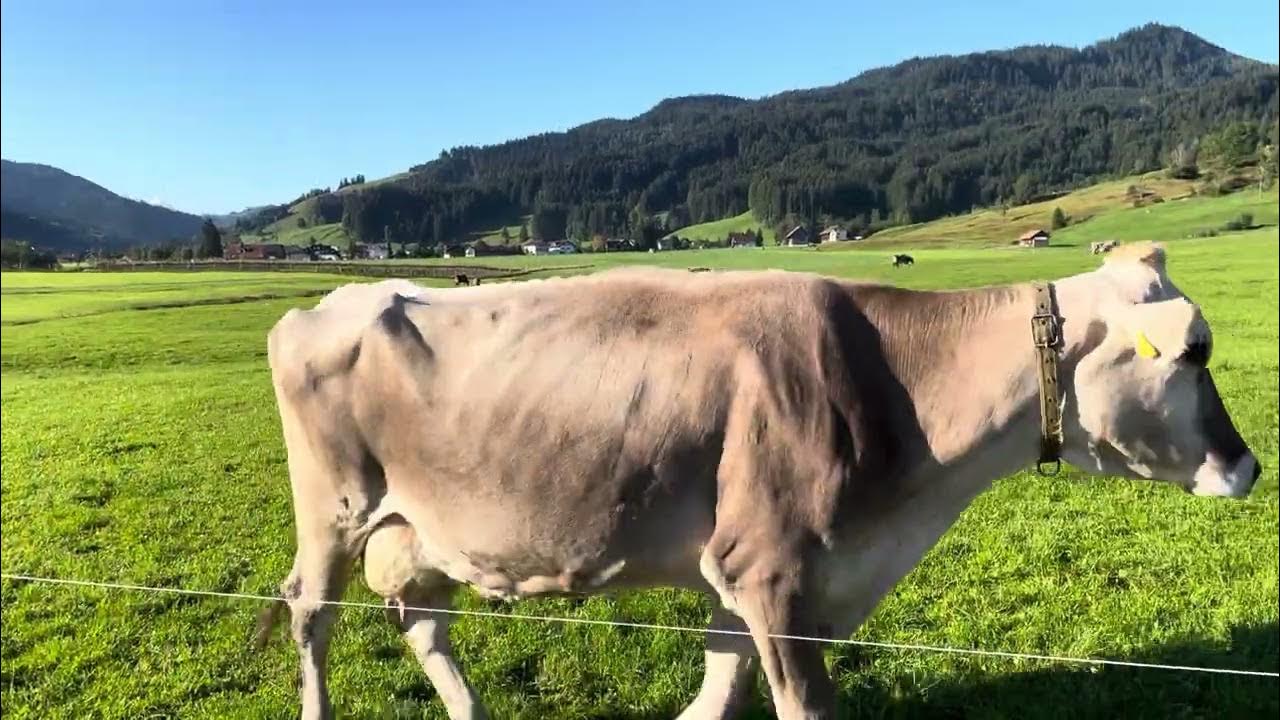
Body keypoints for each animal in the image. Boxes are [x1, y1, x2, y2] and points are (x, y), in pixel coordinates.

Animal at [260, 242, 1260, 720]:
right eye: (1195, 351)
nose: (1247, 465)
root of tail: (328, 301)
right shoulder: (773, 569)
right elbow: (793, 701)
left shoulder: (750, 574)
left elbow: (716, 689)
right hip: (334, 509)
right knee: (312, 612)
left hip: (418, 526)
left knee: (421, 618)